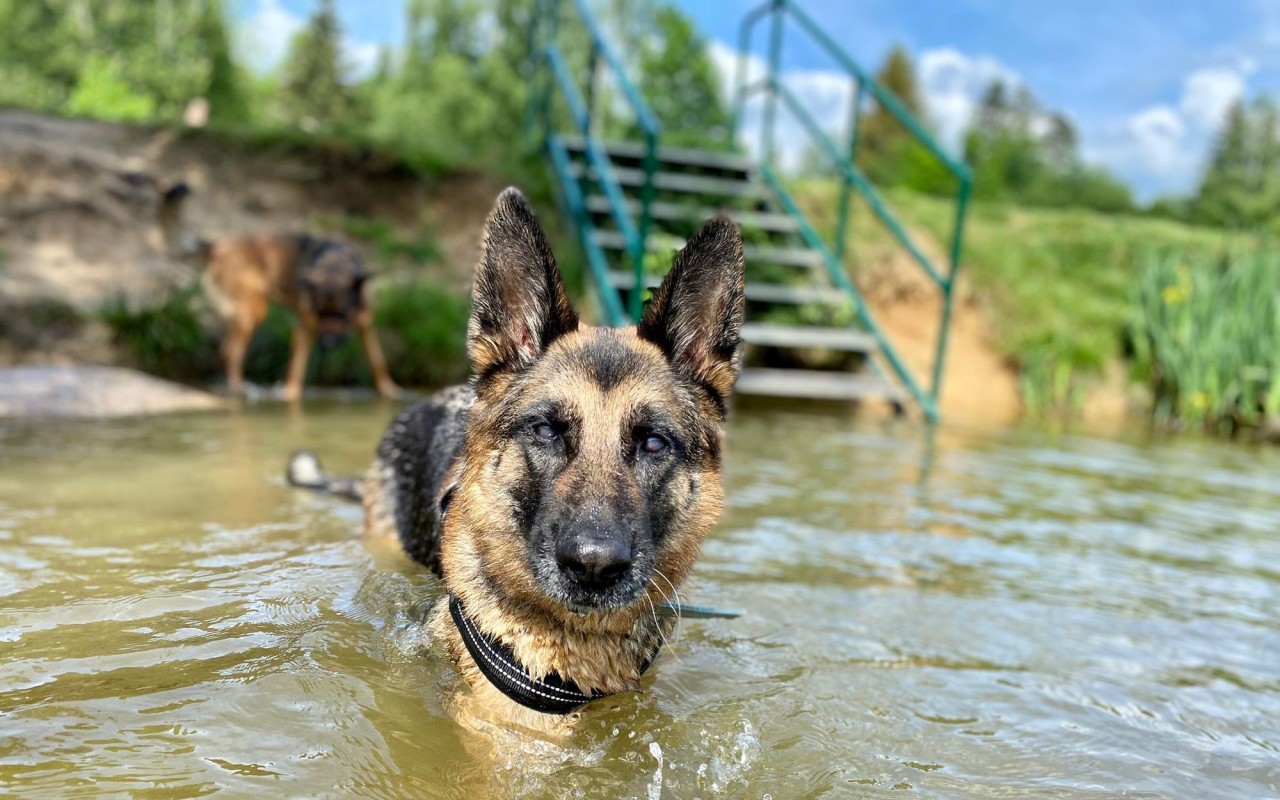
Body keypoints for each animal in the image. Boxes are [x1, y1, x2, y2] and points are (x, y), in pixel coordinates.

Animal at [159, 180, 399, 399]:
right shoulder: (304, 327)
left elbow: (377, 362)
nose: (328, 344)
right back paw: (238, 387)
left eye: (343, 313)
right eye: (320, 312)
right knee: (231, 351)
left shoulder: (366, 326)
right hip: (255, 310)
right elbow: (296, 367)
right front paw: (290, 396)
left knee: (227, 348)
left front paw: (390, 391)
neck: (335, 265)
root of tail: (216, 245)